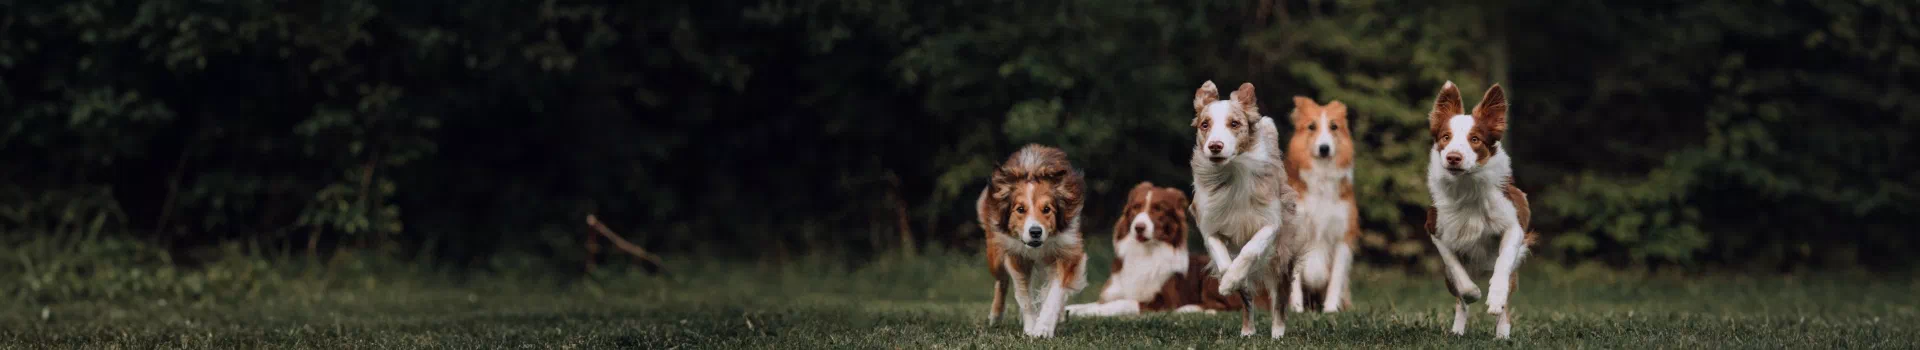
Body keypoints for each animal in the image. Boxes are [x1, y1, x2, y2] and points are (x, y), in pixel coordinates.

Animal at [983, 143, 1090, 338]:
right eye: (1020, 209)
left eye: (1047, 209)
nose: (1035, 232)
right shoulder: (1016, 256)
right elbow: (1024, 295)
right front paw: (1031, 326)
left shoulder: (1069, 251)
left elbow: (1055, 292)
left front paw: (1043, 328)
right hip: (995, 253)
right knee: (1002, 281)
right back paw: (995, 316)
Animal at [1067, 183, 1244, 317]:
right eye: (1136, 207)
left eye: (1158, 209)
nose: (1139, 227)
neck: (1144, 252)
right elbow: (1091, 303)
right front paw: (1071, 309)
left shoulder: (1160, 302)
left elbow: (1121, 303)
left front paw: (1087, 312)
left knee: (1225, 306)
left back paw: (1188, 309)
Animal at [1182, 80, 1305, 338]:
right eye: (1205, 124)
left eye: (1234, 123)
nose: (1215, 146)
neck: (1232, 173)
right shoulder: (1210, 226)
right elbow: (1223, 259)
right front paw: (1228, 281)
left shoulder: (1271, 223)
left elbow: (1250, 250)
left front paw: (1230, 280)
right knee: (1247, 299)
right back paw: (1247, 330)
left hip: (1283, 255)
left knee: (1279, 299)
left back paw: (1278, 334)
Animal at [1274, 97, 1367, 313]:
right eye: (1311, 127)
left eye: (1334, 126)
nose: (1324, 148)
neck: (1322, 178)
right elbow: (1295, 279)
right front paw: (1297, 309)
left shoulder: (1343, 236)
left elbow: (1336, 278)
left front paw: (1330, 310)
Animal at [1428, 81, 1543, 338]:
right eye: (1446, 137)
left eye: (1475, 139)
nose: (1453, 157)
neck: (1467, 186)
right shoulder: (1435, 228)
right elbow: (1457, 271)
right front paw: (1473, 293)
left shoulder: (1514, 224)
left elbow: (1503, 262)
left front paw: (1495, 298)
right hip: (1448, 278)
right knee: (1459, 301)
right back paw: (1458, 331)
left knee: (1506, 300)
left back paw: (1502, 333)